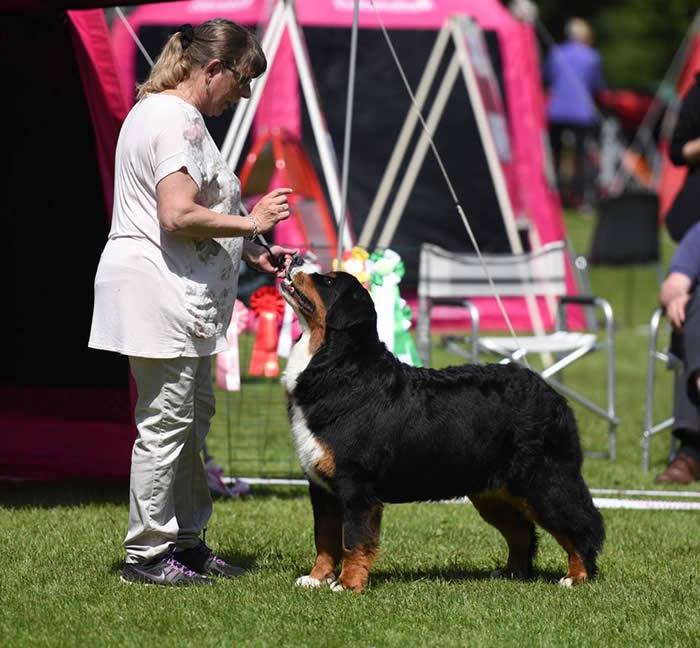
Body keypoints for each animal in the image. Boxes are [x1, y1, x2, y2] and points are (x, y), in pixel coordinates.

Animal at [282, 256, 604, 592]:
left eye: (327, 281)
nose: (294, 258)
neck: (337, 365)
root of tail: (553, 395)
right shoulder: (323, 488)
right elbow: (324, 538)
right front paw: (316, 578)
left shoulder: (356, 486)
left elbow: (353, 540)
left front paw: (348, 584)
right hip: (493, 492)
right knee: (522, 530)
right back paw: (512, 572)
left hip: (545, 482)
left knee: (582, 526)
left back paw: (576, 576)